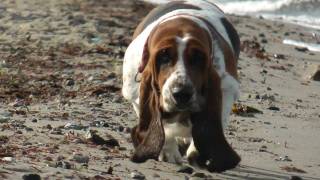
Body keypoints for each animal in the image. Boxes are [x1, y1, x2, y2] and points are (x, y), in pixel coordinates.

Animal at [122, 0, 240, 172]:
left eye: (198, 58)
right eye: (163, 56)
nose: (182, 94)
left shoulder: (228, 89)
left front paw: (197, 151)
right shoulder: (136, 96)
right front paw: (168, 151)